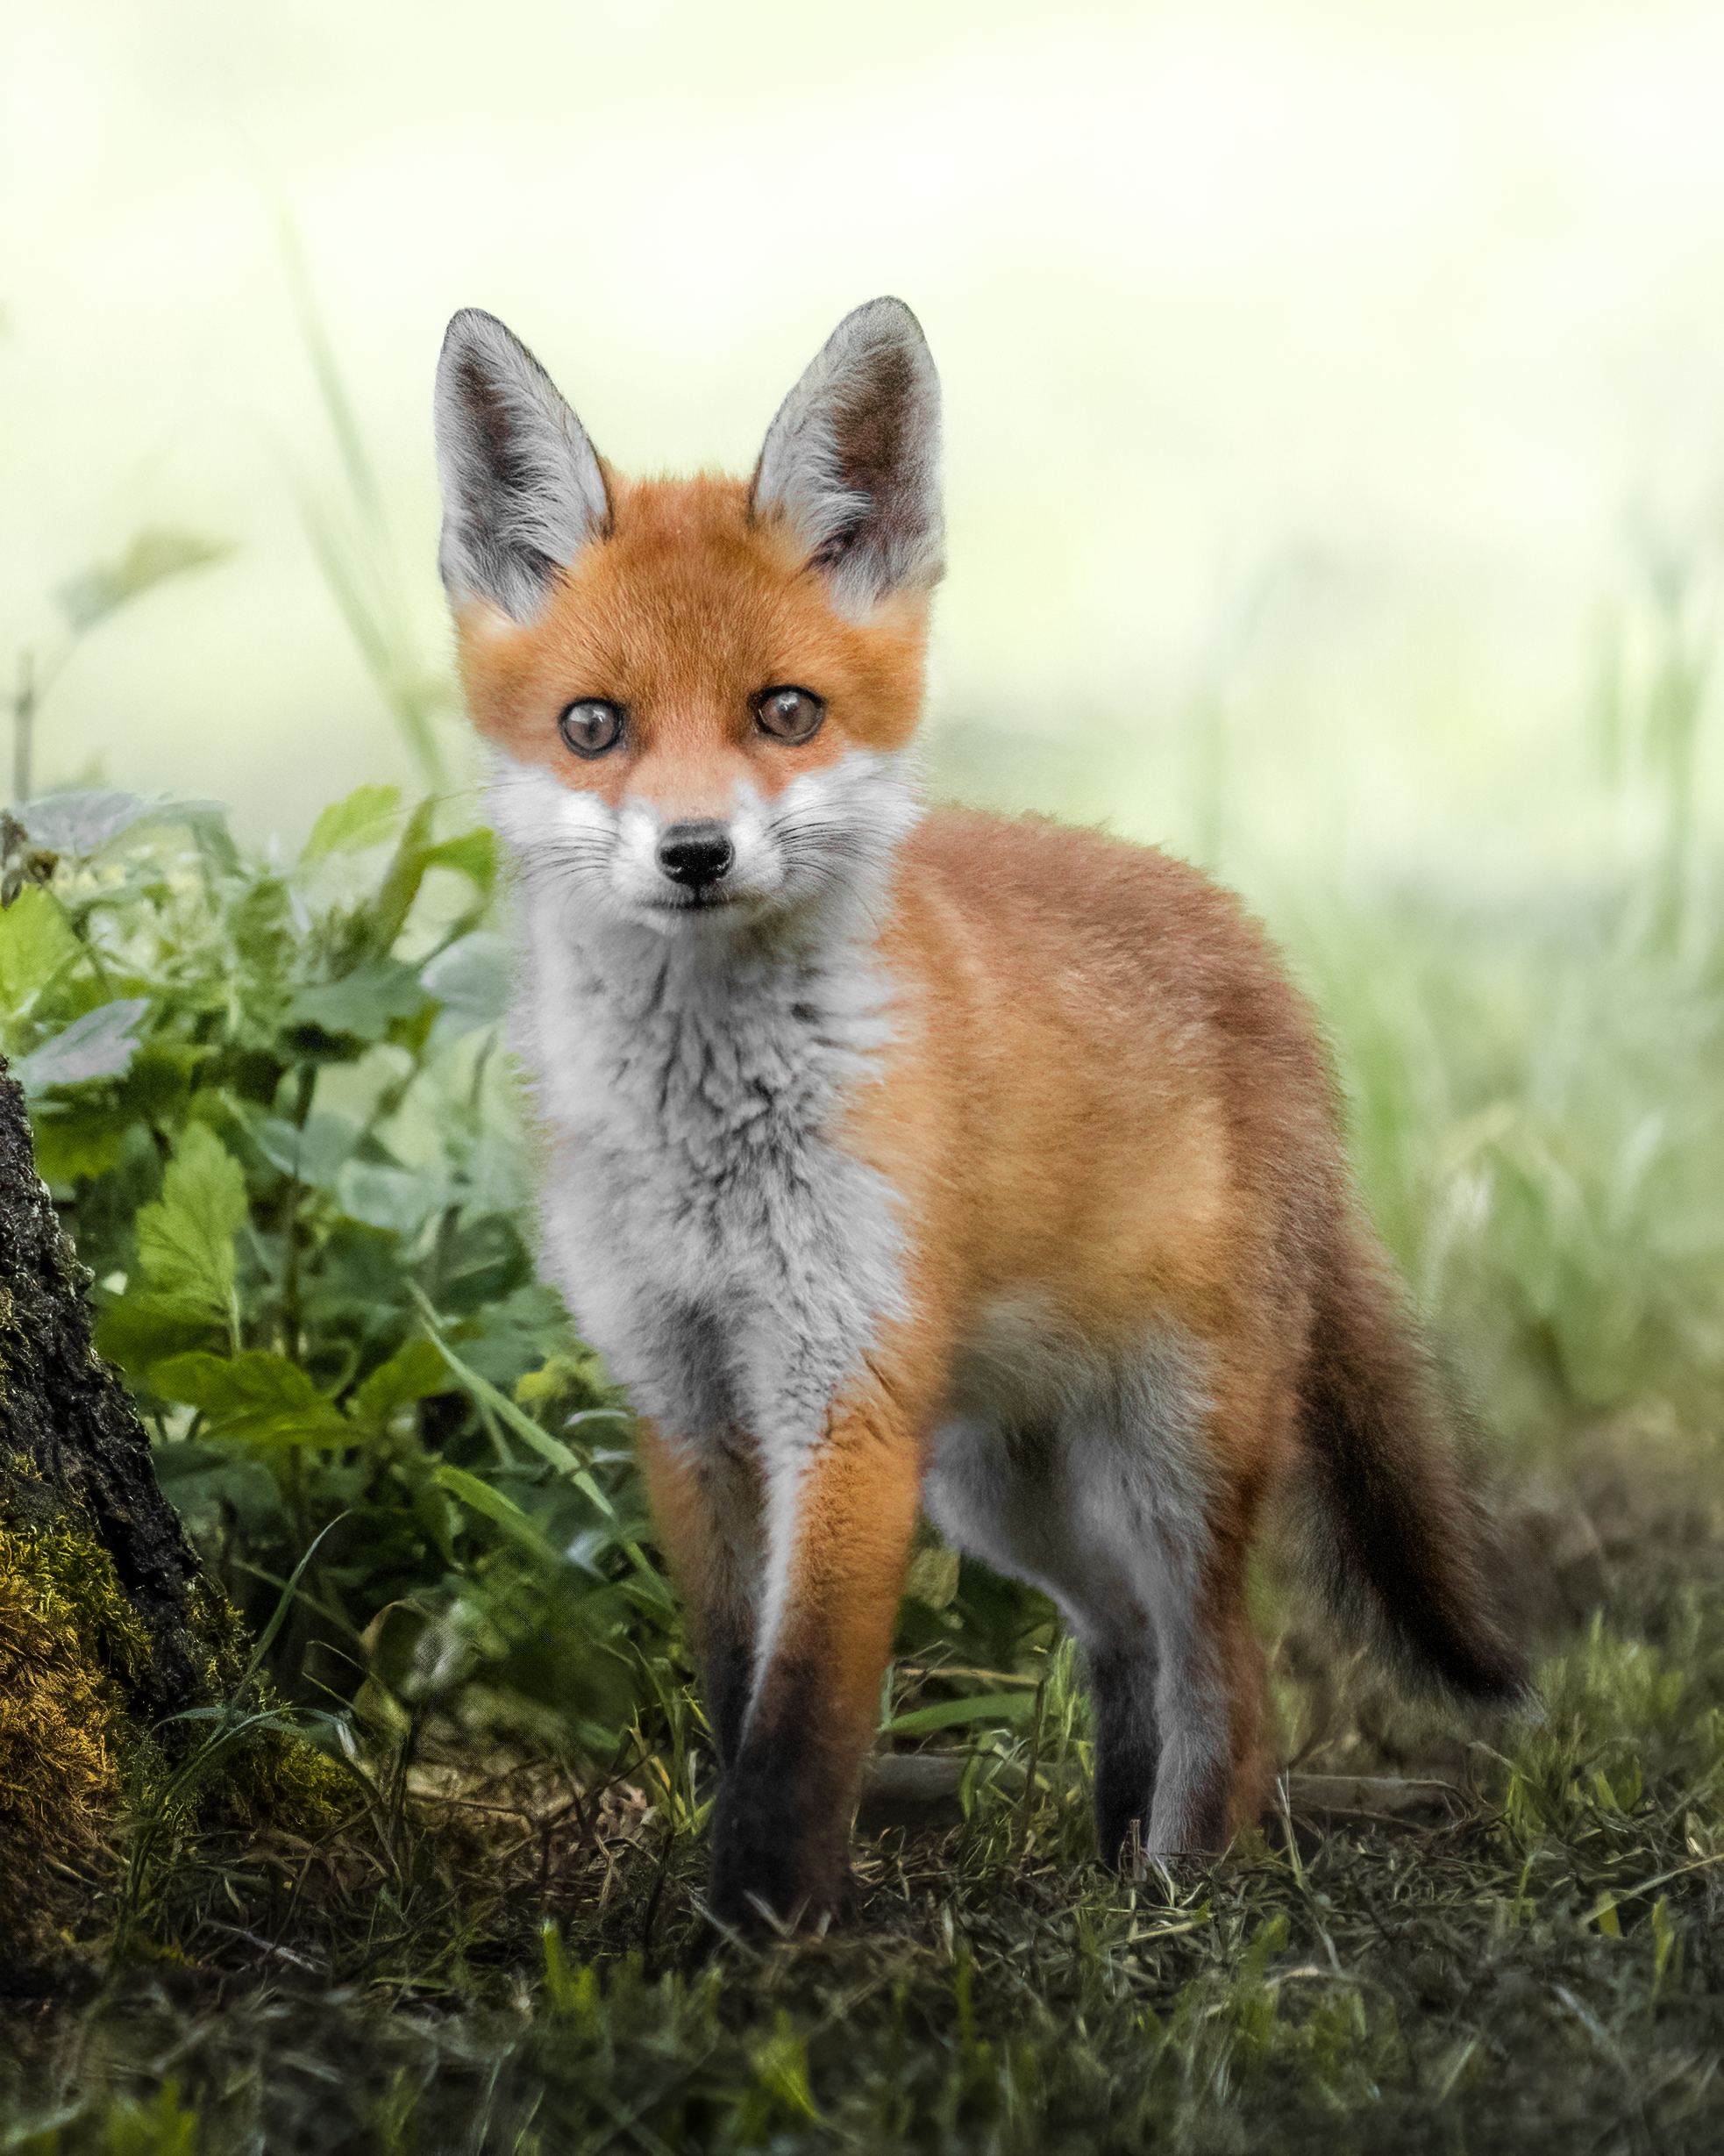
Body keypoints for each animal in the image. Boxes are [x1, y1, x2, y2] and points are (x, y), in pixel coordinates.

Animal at [432, 296, 1526, 1936]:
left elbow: (803, 1723)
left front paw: (763, 1936)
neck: (713, 1148)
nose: (693, 853)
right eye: (593, 725)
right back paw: (1108, 1849)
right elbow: (730, 1693)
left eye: (785, 711)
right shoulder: (683, 1398)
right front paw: (730, 1911)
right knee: (1121, 1636)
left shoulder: (845, 1397)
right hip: (1001, 1486)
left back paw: (1172, 1892)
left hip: (1170, 1448)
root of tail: (1259, 962)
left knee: (1229, 1677)